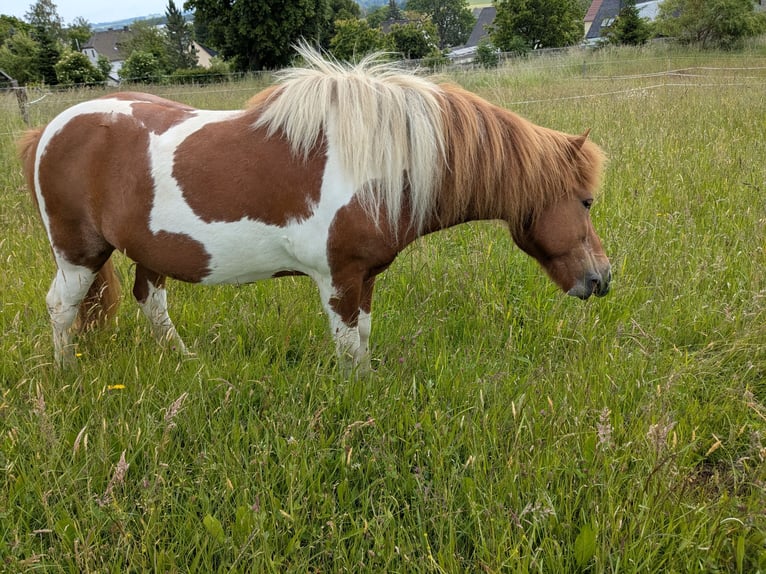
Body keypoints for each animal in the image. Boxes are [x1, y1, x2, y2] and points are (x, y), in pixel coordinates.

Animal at [19, 45, 611, 371]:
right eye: (586, 200)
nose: (602, 279)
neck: (378, 162)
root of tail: (46, 130)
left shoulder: (363, 279)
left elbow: (363, 341)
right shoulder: (339, 279)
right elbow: (349, 350)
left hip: (149, 252)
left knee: (151, 303)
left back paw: (185, 362)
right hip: (78, 252)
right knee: (61, 307)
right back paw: (67, 372)